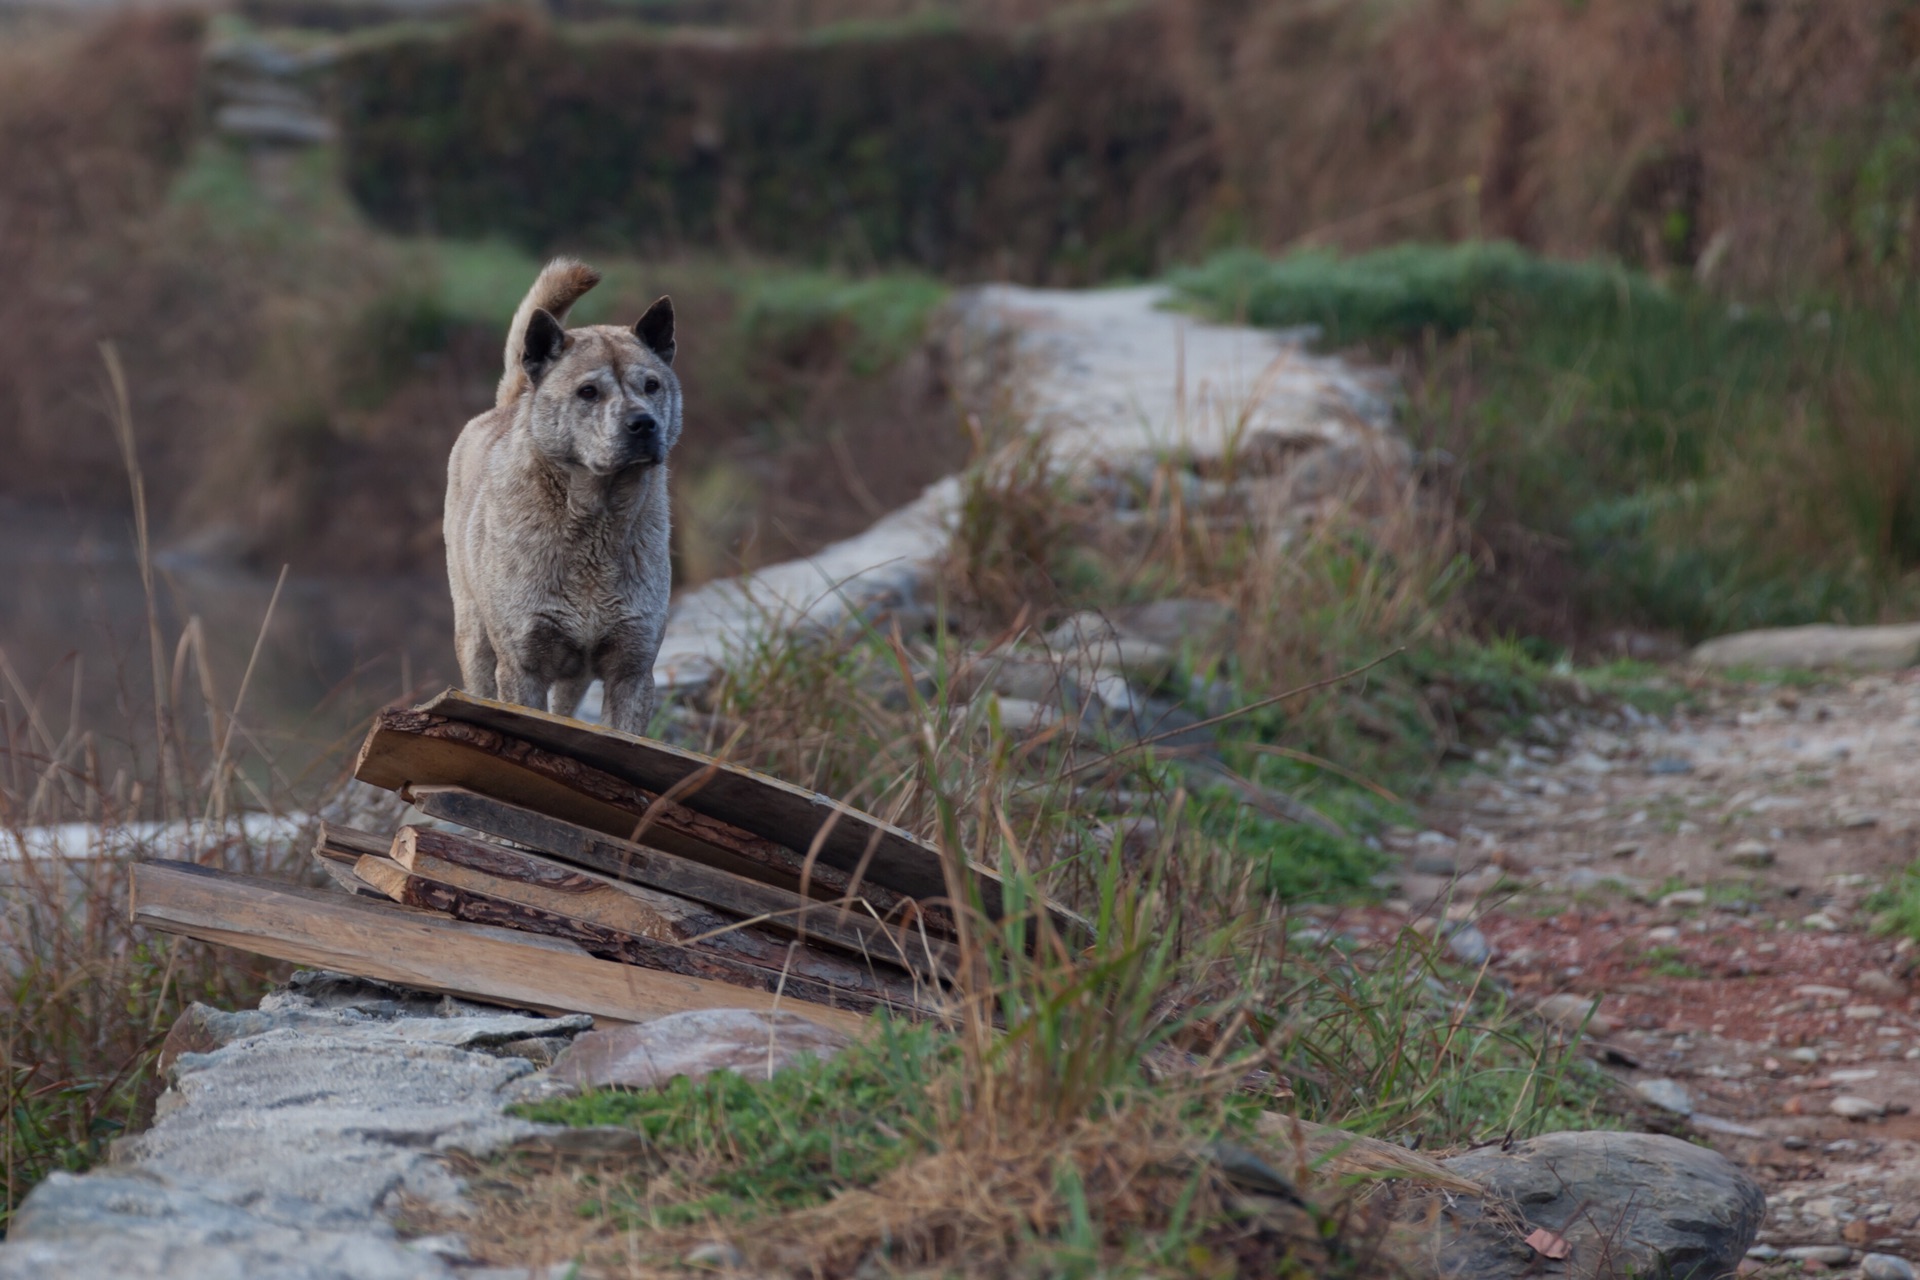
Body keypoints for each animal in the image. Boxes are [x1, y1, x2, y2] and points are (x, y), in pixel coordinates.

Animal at [441, 257, 683, 736]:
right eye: (588, 391)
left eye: (651, 385)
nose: (643, 424)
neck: (594, 525)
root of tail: (512, 400)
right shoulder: (523, 665)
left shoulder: (631, 669)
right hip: (474, 636)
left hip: (578, 678)